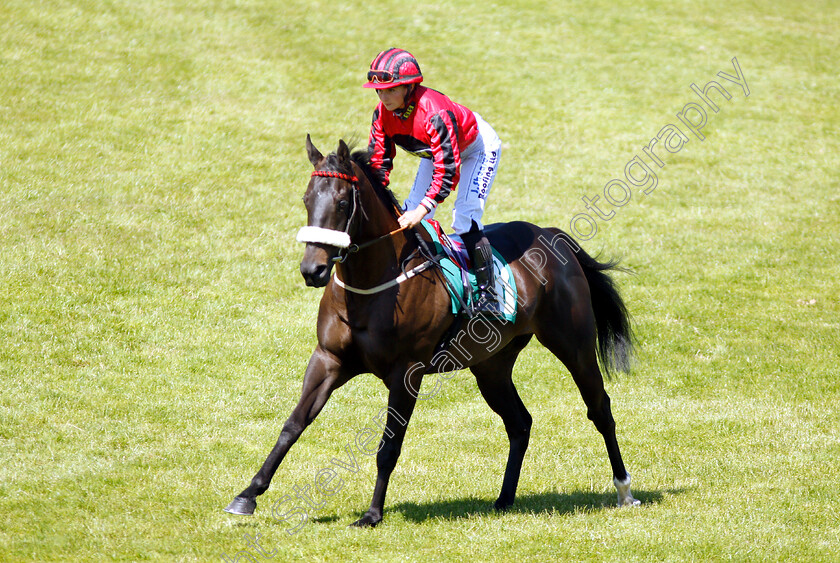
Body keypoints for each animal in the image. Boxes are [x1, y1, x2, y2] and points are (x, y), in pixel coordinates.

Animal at [226, 137, 640, 528]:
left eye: (343, 203)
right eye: (307, 198)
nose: (313, 270)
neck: (372, 287)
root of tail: (552, 236)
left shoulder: (406, 372)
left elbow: (388, 446)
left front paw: (372, 514)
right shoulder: (328, 359)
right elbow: (292, 425)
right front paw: (247, 496)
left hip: (573, 344)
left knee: (599, 408)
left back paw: (624, 490)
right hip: (492, 364)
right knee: (519, 422)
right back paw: (504, 499)